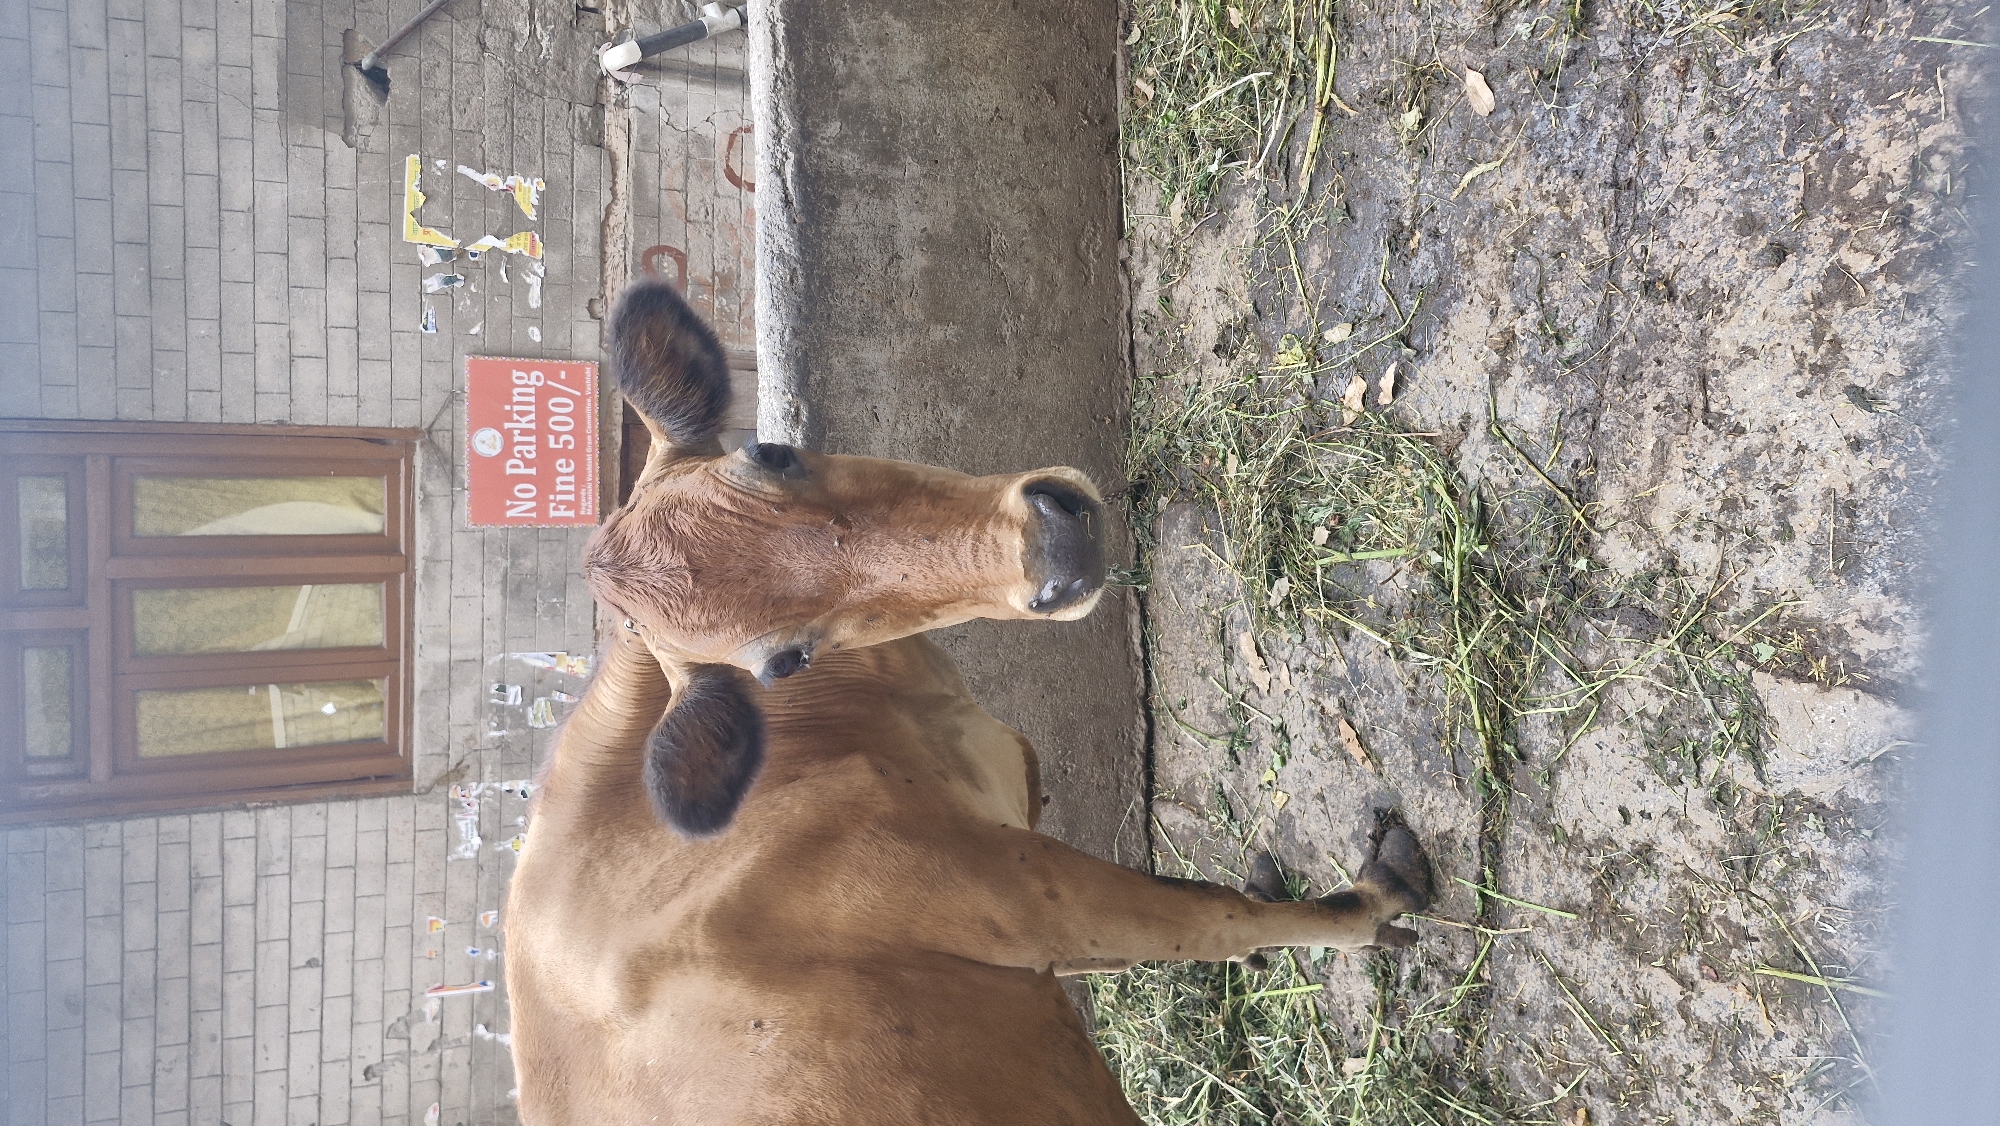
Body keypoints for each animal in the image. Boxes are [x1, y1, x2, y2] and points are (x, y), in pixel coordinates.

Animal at [503, 280, 1433, 1125]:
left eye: (771, 452)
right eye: (784, 660)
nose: (1053, 547)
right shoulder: (1026, 896)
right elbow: (1216, 916)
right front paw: (1375, 904)